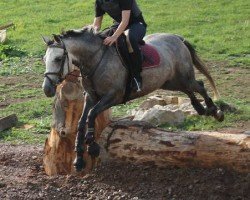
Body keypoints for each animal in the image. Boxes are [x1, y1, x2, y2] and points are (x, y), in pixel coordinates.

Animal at [42, 25, 224, 171]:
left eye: (58, 59)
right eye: (44, 59)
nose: (47, 89)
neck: (95, 60)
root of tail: (177, 37)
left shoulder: (113, 96)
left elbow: (92, 115)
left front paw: (92, 146)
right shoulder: (92, 97)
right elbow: (81, 122)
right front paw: (79, 159)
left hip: (183, 77)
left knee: (199, 85)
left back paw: (215, 111)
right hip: (170, 81)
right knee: (190, 89)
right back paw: (200, 108)